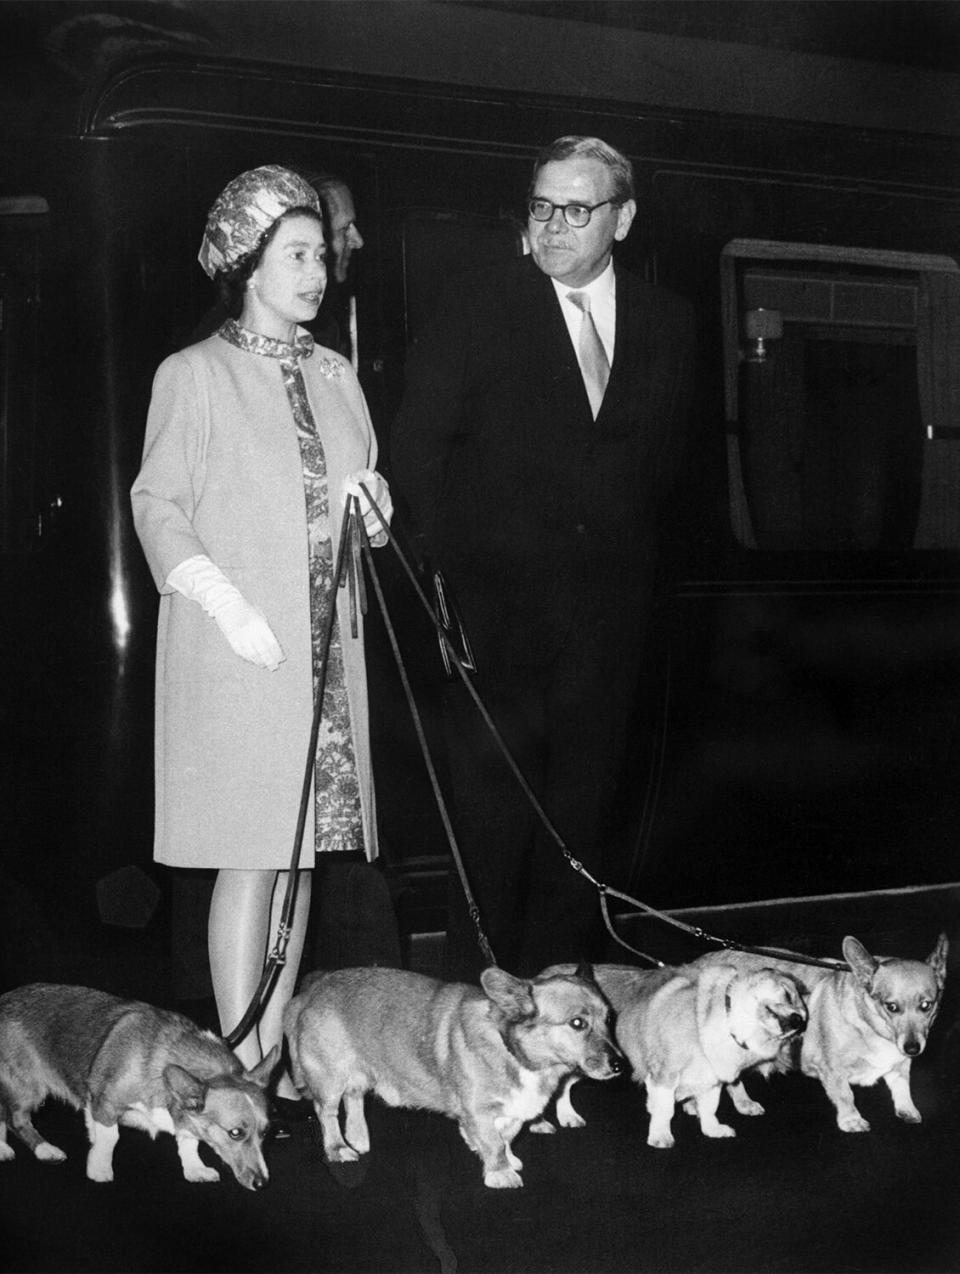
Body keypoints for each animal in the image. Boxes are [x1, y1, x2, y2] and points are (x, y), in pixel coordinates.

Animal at [0, 983, 276, 1182]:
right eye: (235, 1133)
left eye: (265, 1132)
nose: (262, 1183)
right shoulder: (104, 1104)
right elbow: (110, 1138)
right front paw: (99, 1169)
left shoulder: (186, 1119)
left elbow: (190, 1143)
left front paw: (195, 1169)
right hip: (28, 1088)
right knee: (16, 1120)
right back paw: (45, 1150)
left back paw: (2, 1149)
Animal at [282, 963, 621, 1182]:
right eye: (577, 1023)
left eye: (609, 1019)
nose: (619, 1065)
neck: (512, 1050)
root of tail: (314, 988)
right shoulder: (478, 1110)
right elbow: (494, 1141)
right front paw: (500, 1173)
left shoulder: (510, 1111)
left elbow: (507, 1136)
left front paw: (503, 1157)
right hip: (330, 1077)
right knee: (326, 1113)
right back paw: (339, 1148)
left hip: (359, 1071)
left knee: (353, 1098)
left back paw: (358, 1137)